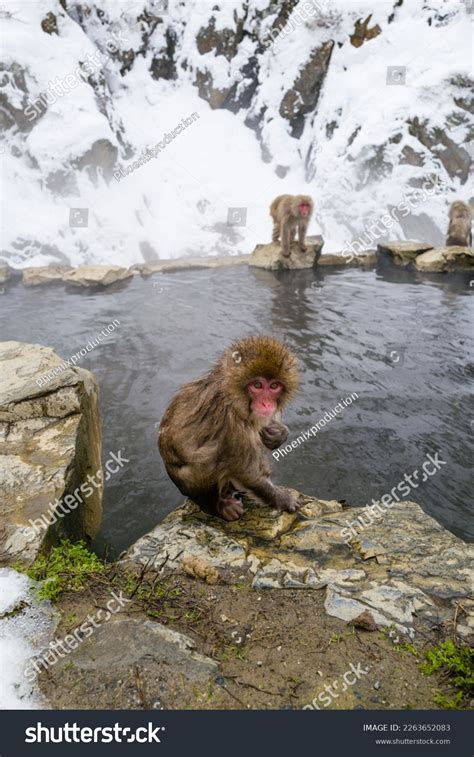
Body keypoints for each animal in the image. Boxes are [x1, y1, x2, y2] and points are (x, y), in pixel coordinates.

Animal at [158, 336, 299, 522]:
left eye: (274, 386)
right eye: (257, 385)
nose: (266, 404)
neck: (233, 396)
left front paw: (278, 434)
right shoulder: (231, 423)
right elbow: (247, 472)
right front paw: (283, 499)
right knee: (207, 459)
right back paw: (215, 507)